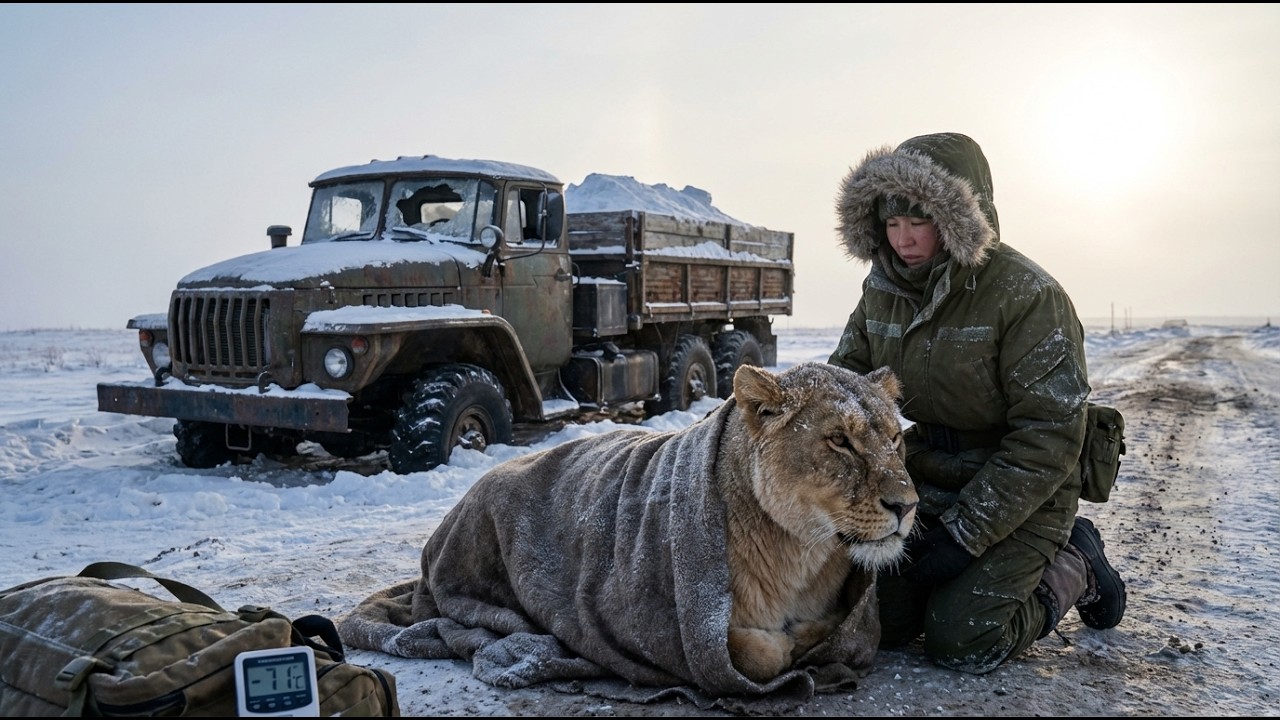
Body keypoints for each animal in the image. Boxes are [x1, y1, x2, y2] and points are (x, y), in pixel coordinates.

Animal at [721, 362, 919, 682]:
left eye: (894, 439)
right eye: (839, 440)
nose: (907, 506)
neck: (797, 559)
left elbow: (834, 625)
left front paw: (800, 637)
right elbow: (753, 654)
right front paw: (779, 644)